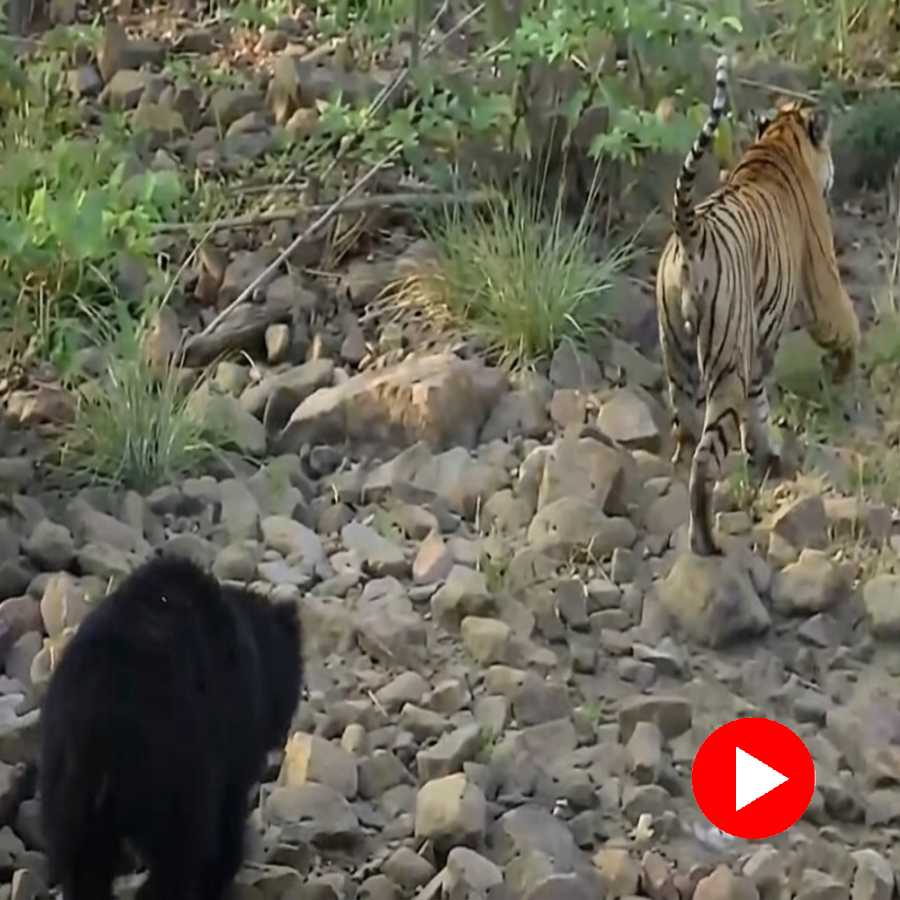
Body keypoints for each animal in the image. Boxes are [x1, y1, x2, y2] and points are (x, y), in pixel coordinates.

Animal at [38, 553, 303, 900]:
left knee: (83, 865)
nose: (282, 736)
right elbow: (228, 807)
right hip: (172, 770)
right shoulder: (232, 725)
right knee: (179, 852)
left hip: (67, 785)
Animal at [655, 54, 860, 557]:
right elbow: (846, 326)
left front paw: (766, 455)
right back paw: (706, 541)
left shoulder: (759, 344)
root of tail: (691, 231)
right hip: (724, 365)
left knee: (685, 437)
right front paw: (844, 372)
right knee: (705, 461)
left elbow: (760, 405)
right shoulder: (821, 286)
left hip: (679, 358)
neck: (779, 141)